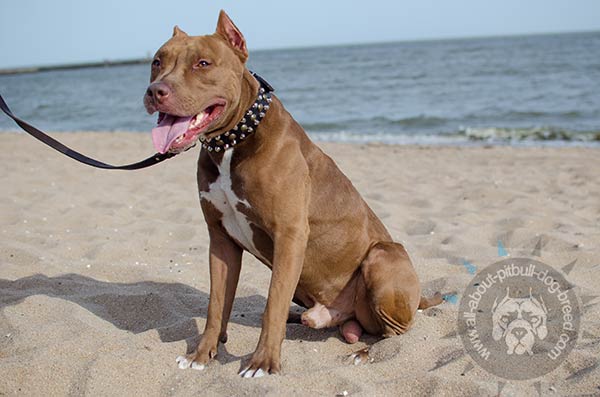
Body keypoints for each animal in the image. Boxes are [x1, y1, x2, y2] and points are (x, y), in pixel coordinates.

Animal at [142, 10, 440, 378]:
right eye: (157, 61)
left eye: (203, 63)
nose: (156, 91)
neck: (232, 142)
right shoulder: (221, 240)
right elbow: (216, 304)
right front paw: (201, 354)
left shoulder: (289, 236)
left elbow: (272, 305)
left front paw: (263, 363)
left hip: (383, 256)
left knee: (395, 332)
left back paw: (365, 352)